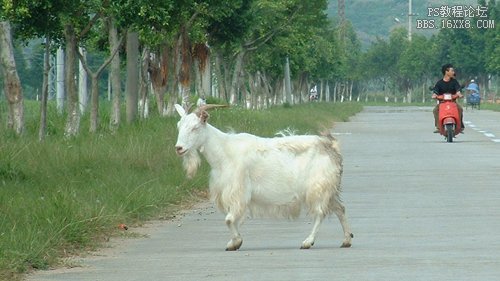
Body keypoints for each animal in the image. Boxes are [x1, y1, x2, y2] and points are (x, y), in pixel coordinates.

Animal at [174, 103, 354, 249]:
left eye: (195, 127)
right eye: (179, 126)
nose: (179, 148)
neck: (224, 150)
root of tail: (330, 147)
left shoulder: (238, 191)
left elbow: (229, 219)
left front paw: (236, 242)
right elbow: (231, 219)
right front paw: (233, 242)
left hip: (318, 187)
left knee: (320, 213)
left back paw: (308, 241)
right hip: (329, 189)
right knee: (340, 208)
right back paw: (346, 240)